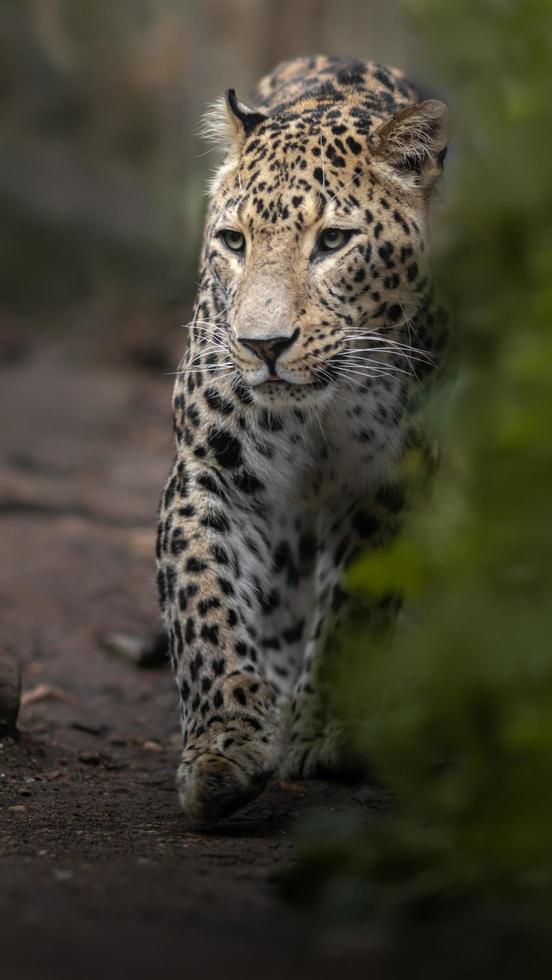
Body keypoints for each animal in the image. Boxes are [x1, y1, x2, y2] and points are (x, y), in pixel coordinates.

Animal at [155, 51, 448, 820]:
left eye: (334, 242)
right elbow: (206, 602)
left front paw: (329, 730)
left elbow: (354, 608)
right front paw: (224, 746)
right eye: (233, 241)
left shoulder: (385, 479)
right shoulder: (211, 473)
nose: (263, 346)